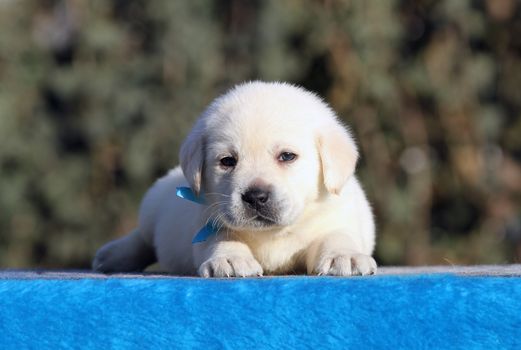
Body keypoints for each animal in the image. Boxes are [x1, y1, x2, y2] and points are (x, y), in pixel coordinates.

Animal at [93, 81, 376, 276]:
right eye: (228, 161)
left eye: (287, 156)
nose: (256, 196)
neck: (273, 234)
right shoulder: (207, 222)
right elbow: (222, 237)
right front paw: (230, 258)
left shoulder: (337, 217)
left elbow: (336, 235)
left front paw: (345, 256)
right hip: (152, 207)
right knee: (143, 239)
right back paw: (113, 255)